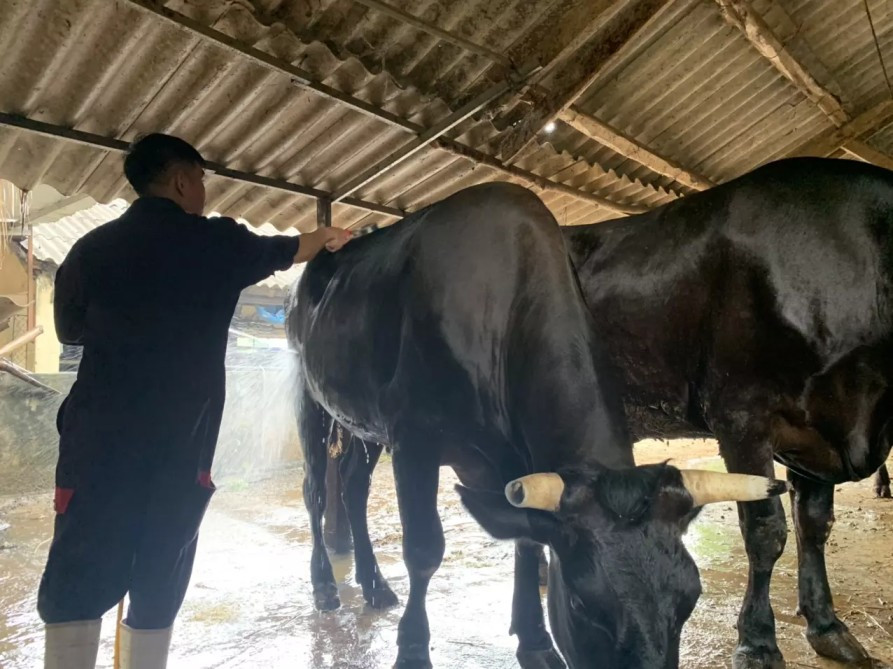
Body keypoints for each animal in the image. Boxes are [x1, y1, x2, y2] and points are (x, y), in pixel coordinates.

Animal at [286, 183, 780, 668]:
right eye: (582, 604)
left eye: (689, 600)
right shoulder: (414, 438)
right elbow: (424, 550)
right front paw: (412, 652)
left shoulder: (515, 460)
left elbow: (528, 541)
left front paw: (536, 642)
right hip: (309, 395)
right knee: (316, 490)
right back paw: (325, 585)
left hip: (362, 423)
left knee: (353, 485)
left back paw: (374, 584)